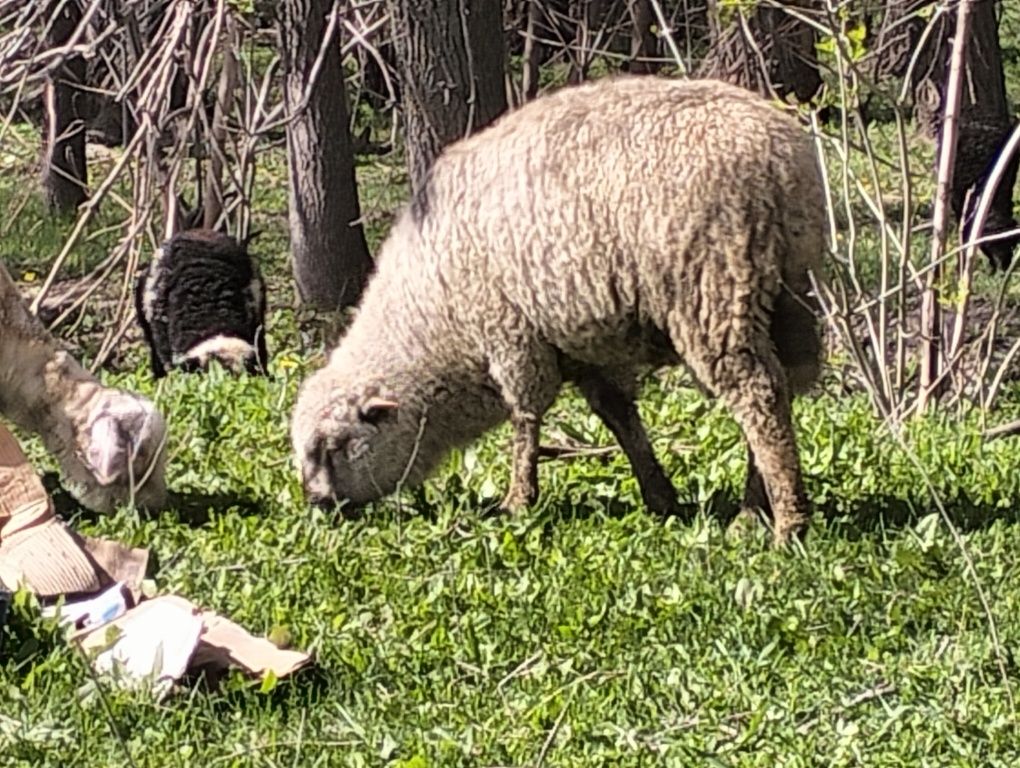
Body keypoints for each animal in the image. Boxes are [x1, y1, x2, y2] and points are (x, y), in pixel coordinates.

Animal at [289, 76, 828, 546]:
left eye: (332, 446)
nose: (317, 505)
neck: (433, 320)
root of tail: (780, 158)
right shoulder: (584, 345)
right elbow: (618, 417)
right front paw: (660, 496)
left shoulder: (510, 331)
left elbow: (526, 417)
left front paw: (518, 500)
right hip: (790, 293)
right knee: (781, 387)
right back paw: (756, 509)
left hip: (712, 289)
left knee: (757, 396)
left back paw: (785, 523)